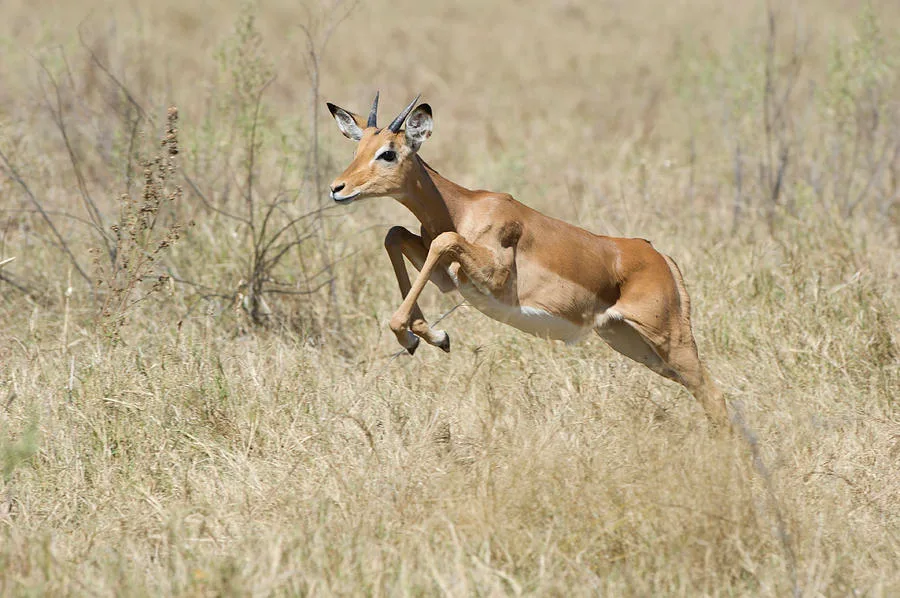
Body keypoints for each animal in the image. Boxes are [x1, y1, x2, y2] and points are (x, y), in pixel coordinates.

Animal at [327, 93, 728, 426]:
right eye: (358, 148)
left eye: (388, 152)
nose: (337, 188)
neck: (463, 208)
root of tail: (659, 256)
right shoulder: (447, 277)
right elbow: (394, 233)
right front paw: (427, 337)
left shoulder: (493, 277)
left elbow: (443, 240)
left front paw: (418, 335)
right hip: (633, 344)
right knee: (702, 391)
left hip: (669, 340)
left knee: (715, 394)